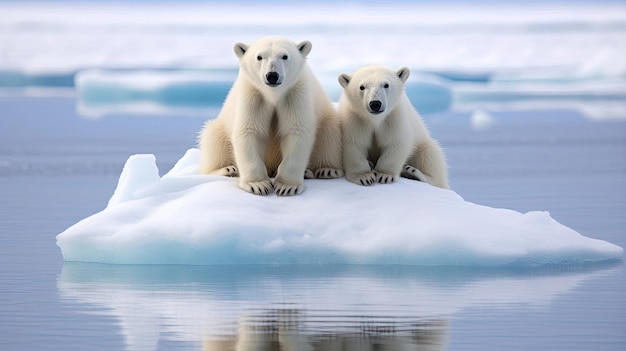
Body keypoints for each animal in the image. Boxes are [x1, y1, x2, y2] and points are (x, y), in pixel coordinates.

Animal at [197, 37, 342, 197]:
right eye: (259, 57)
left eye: (284, 56)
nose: (272, 75)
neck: (273, 95)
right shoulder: (253, 94)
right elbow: (249, 131)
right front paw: (257, 185)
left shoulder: (295, 93)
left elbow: (296, 132)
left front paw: (286, 186)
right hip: (220, 128)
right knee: (213, 136)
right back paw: (227, 169)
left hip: (327, 121)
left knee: (330, 132)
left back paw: (324, 170)